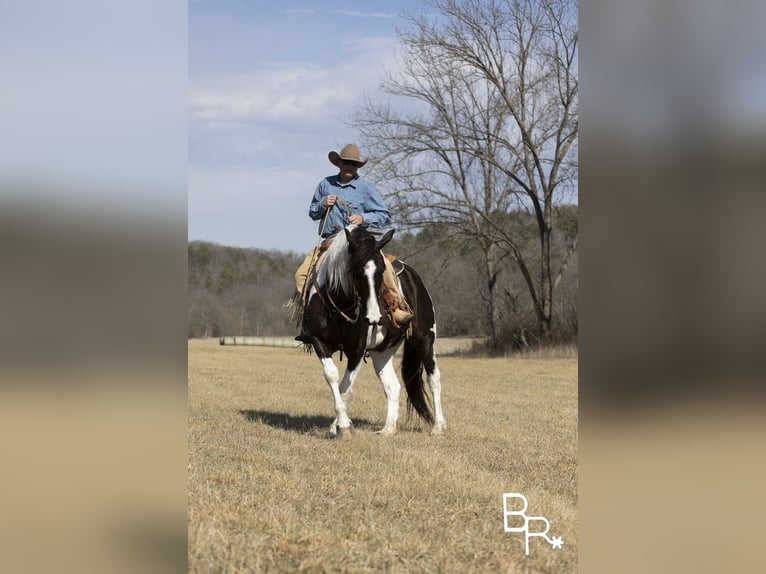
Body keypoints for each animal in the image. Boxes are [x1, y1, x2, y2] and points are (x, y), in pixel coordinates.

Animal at [296, 226, 448, 440]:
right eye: (357, 270)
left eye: (382, 271)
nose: (375, 318)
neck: (339, 306)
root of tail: (416, 280)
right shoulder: (318, 341)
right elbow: (332, 376)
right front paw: (340, 425)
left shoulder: (357, 351)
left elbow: (346, 388)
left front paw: (342, 427)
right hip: (382, 352)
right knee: (393, 386)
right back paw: (388, 429)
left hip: (425, 339)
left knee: (433, 378)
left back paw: (438, 426)